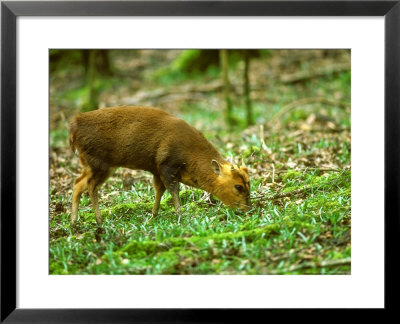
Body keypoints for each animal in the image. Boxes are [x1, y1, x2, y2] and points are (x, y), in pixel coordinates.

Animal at [69, 106, 250, 225]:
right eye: (238, 186)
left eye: (250, 184)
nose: (249, 209)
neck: (190, 155)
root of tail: (73, 126)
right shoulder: (166, 165)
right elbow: (173, 190)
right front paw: (180, 216)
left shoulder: (156, 169)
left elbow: (159, 190)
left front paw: (153, 216)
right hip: (99, 162)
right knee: (91, 186)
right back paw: (99, 221)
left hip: (91, 163)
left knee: (78, 183)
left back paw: (73, 222)